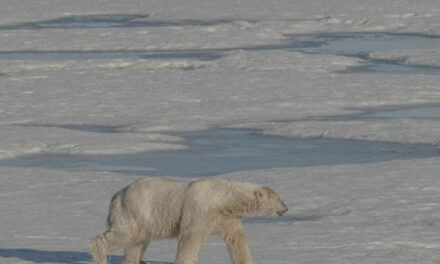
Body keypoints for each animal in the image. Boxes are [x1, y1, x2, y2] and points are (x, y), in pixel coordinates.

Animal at [90, 177, 288, 264]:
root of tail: (117, 195)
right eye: (278, 198)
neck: (221, 198)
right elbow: (190, 238)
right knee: (123, 235)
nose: (286, 208)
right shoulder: (199, 211)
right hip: (134, 212)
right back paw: (101, 255)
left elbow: (236, 239)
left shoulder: (226, 217)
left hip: (144, 221)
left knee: (137, 243)